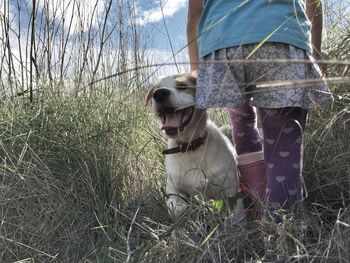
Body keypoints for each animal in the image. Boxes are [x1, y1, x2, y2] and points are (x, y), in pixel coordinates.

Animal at [144, 72, 243, 221]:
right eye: (156, 89)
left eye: (182, 86)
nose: (159, 94)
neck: (190, 147)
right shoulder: (173, 189)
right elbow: (175, 207)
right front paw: (183, 212)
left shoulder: (230, 188)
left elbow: (236, 213)